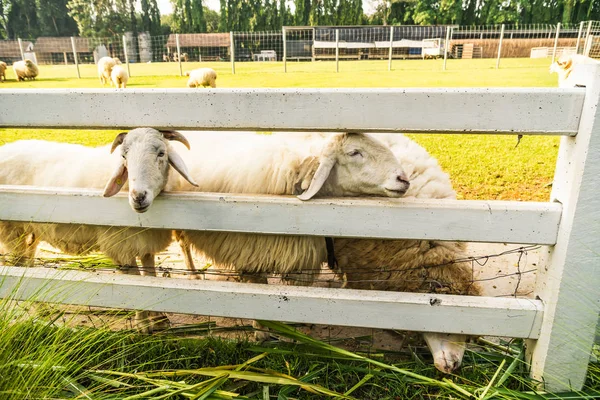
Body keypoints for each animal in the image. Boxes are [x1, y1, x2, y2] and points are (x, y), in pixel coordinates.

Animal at [0, 128, 197, 332]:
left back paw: (42, 307)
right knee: (17, 265)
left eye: (161, 153)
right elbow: (136, 281)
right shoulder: (121, 247)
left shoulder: (145, 241)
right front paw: (143, 324)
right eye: (124, 156)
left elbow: (150, 276)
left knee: (27, 265)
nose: (138, 197)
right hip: (10, 229)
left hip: (29, 228)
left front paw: (158, 319)